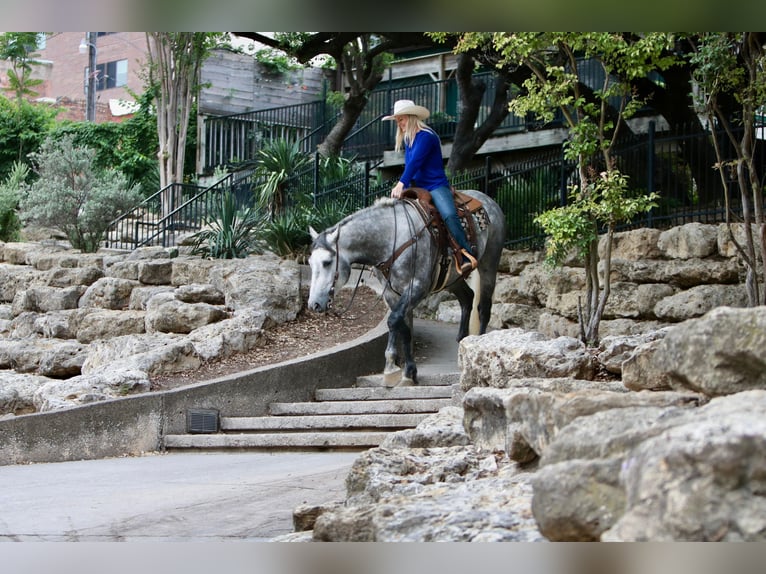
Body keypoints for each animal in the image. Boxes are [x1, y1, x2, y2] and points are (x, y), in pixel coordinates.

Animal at [308, 192, 508, 388]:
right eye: (310, 263)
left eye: (327, 262)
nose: (314, 305)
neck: (391, 239)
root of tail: (488, 200)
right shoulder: (391, 293)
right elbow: (399, 324)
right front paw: (401, 370)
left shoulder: (417, 287)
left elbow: (394, 320)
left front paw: (399, 369)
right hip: (453, 278)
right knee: (467, 298)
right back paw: (462, 340)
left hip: (489, 264)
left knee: (484, 307)